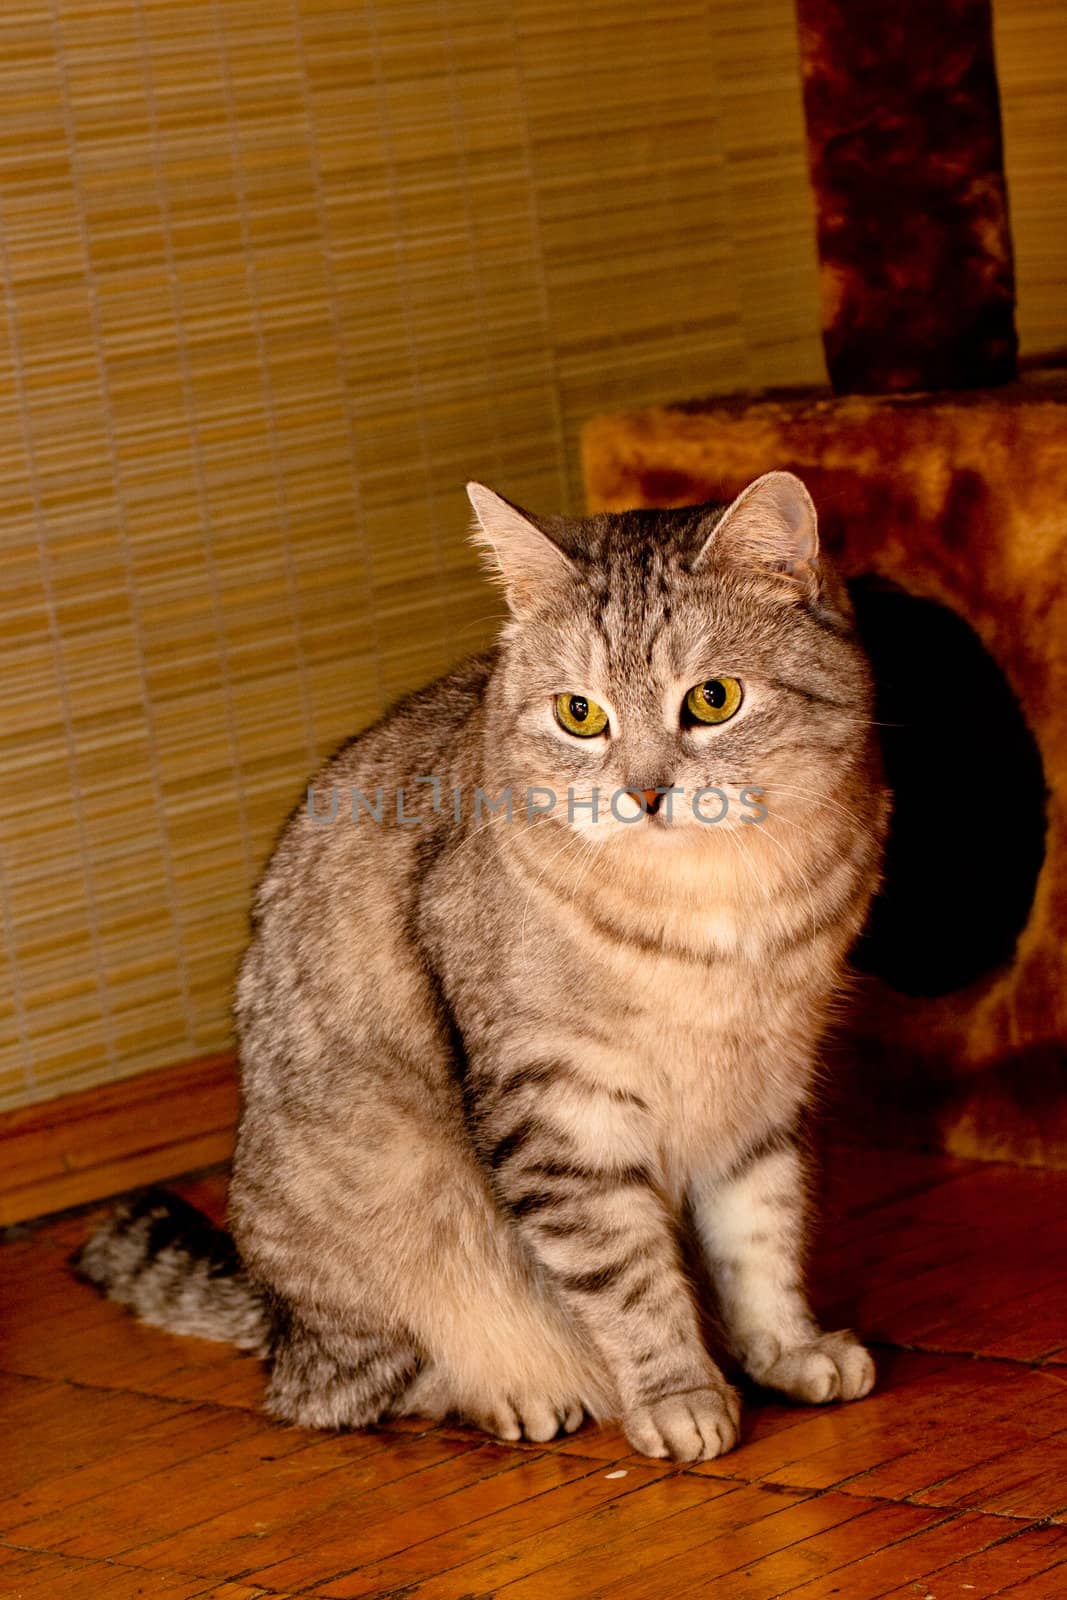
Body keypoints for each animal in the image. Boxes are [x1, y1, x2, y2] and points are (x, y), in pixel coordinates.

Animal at [79, 470, 889, 1465]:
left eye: (712, 699)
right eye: (580, 714)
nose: (643, 793)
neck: (717, 908)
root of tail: (276, 1318)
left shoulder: (765, 1086)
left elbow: (760, 1240)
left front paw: (786, 1350)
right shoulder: (559, 1104)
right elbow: (626, 1279)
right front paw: (680, 1396)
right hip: (384, 1201)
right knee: (349, 1391)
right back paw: (515, 1396)